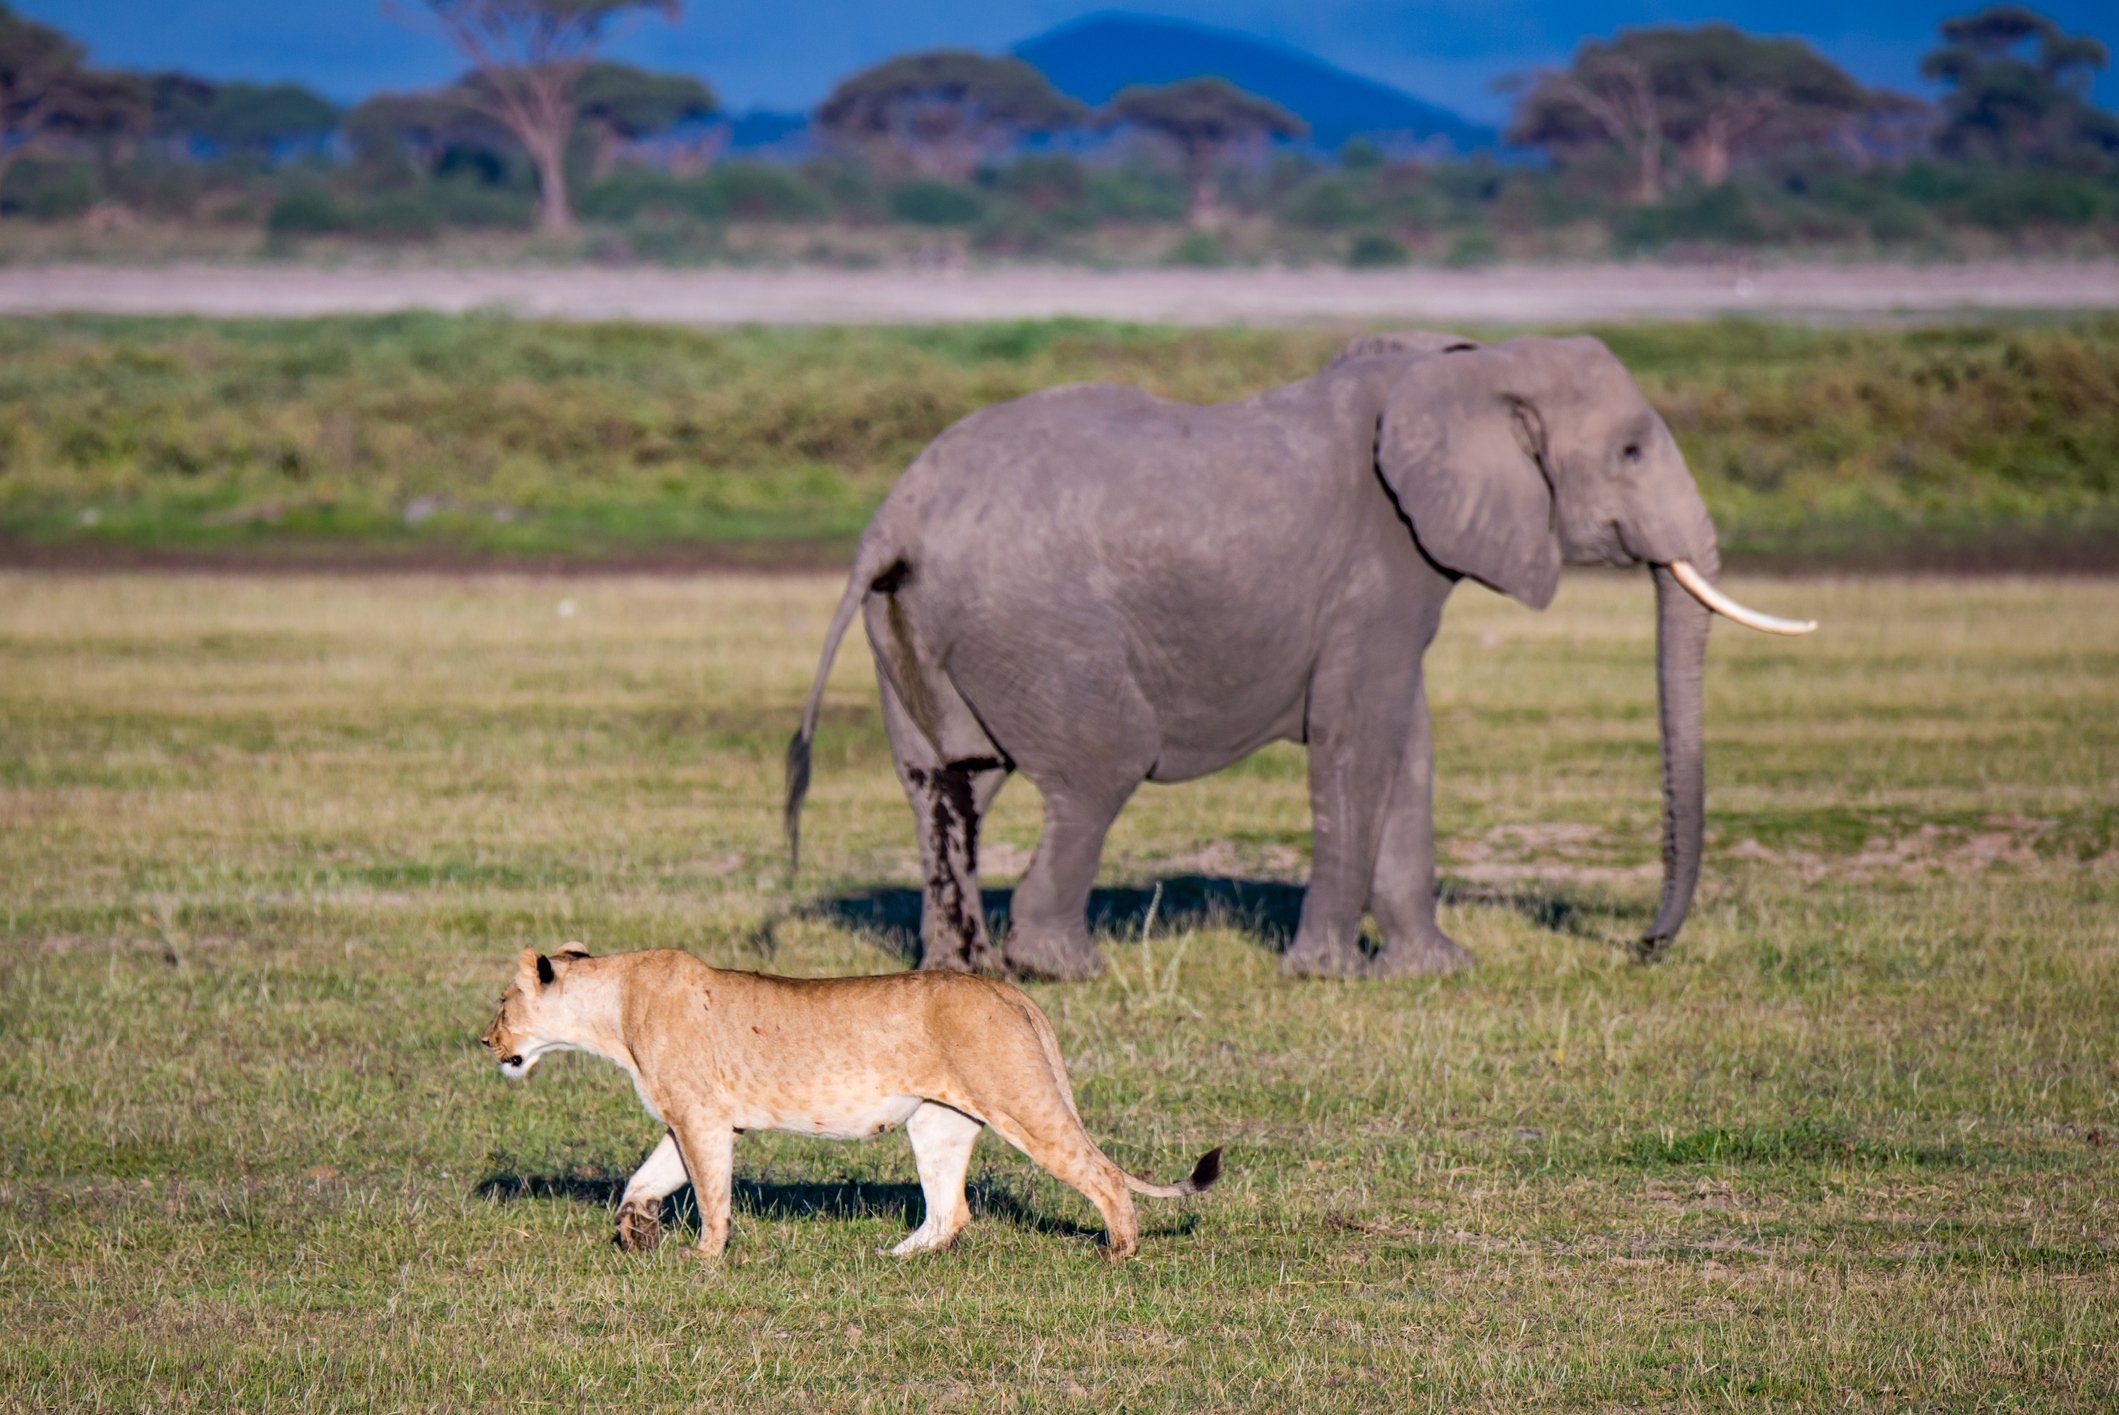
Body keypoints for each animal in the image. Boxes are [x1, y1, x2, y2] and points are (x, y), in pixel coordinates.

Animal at [480, 944, 1221, 1259]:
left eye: (503, 1003)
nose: (485, 1039)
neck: (610, 1009)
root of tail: (1009, 990)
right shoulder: (691, 1119)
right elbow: (644, 1179)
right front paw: (634, 1230)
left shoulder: (701, 1117)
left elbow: (711, 1194)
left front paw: (703, 1257)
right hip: (938, 1122)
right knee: (950, 1211)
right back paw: (891, 1259)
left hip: (1020, 1100)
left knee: (1101, 1175)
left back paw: (1118, 1251)